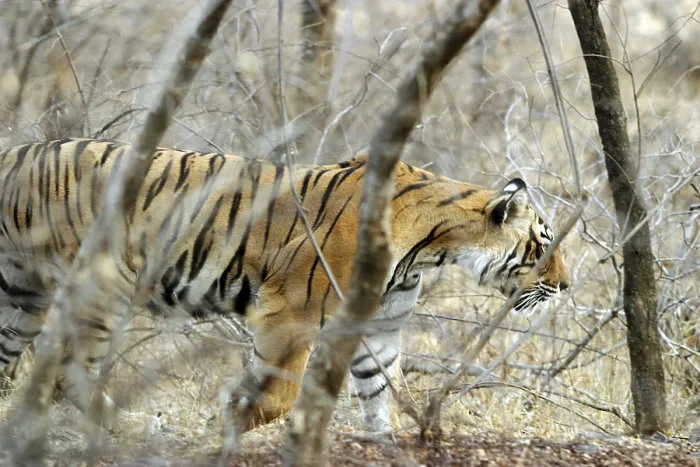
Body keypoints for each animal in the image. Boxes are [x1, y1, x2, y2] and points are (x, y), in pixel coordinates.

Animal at [0, 138, 569, 433]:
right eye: (543, 244)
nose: (567, 285)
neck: (428, 249)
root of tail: (17, 153)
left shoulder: (378, 329)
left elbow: (379, 395)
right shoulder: (291, 315)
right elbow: (278, 395)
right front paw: (229, 420)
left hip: (20, 295)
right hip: (101, 288)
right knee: (70, 374)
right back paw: (129, 428)